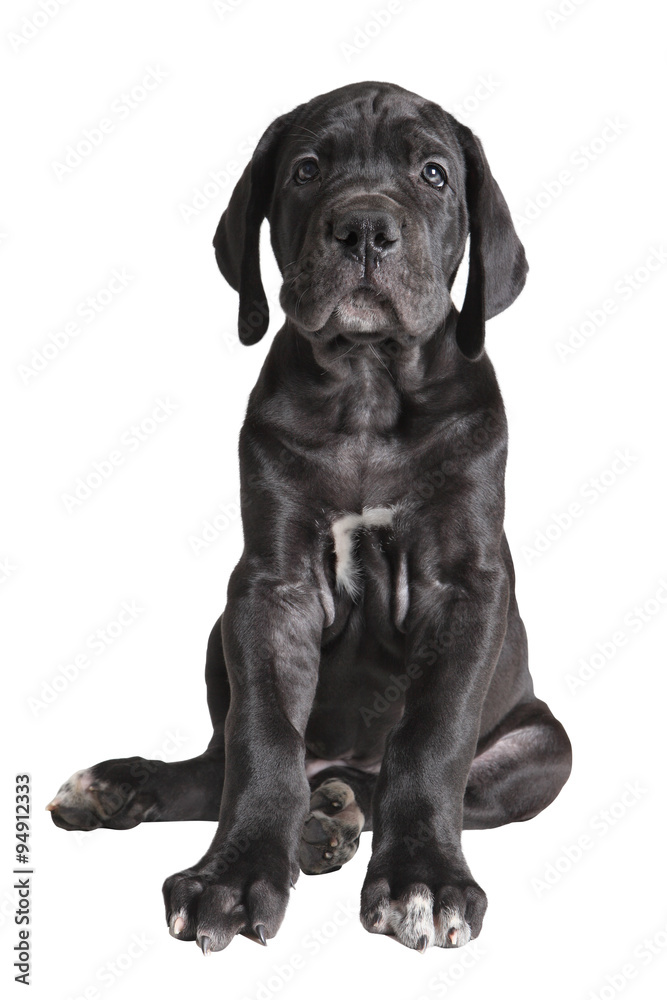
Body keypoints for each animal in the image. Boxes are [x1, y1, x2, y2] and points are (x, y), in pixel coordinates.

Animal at [47, 84, 572, 952]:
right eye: (305, 169)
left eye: (433, 173)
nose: (362, 228)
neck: (366, 386)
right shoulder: (271, 590)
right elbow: (262, 740)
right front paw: (231, 877)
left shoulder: (463, 587)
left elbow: (431, 740)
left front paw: (425, 881)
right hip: (216, 636)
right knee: (232, 767)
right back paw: (142, 791)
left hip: (544, 748)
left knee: (395, 779)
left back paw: (336, 815)